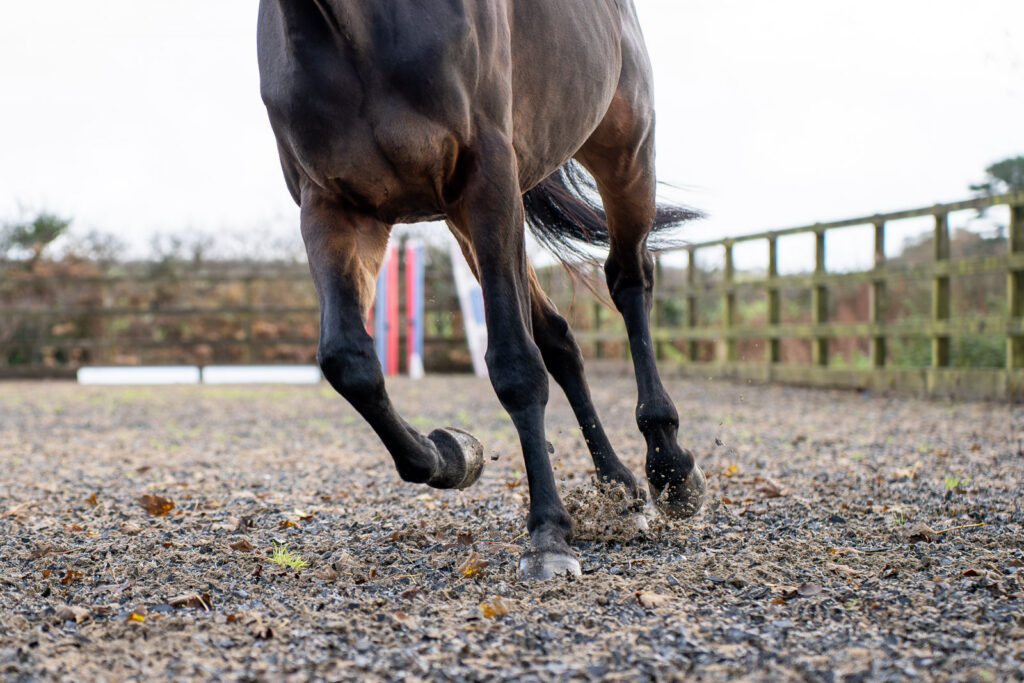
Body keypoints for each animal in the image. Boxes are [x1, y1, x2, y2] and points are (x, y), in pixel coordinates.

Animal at [257, 0, 706, 580]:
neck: (360, 31)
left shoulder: (489, 177)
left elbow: (515, 366)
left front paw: (547, 536)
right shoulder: (333, 205)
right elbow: (346, 361)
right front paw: (452, 454)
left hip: (624, 150)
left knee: (629, 280)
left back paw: (670, 468)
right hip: (466, 221)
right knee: (559, 338)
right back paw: (617, 488)